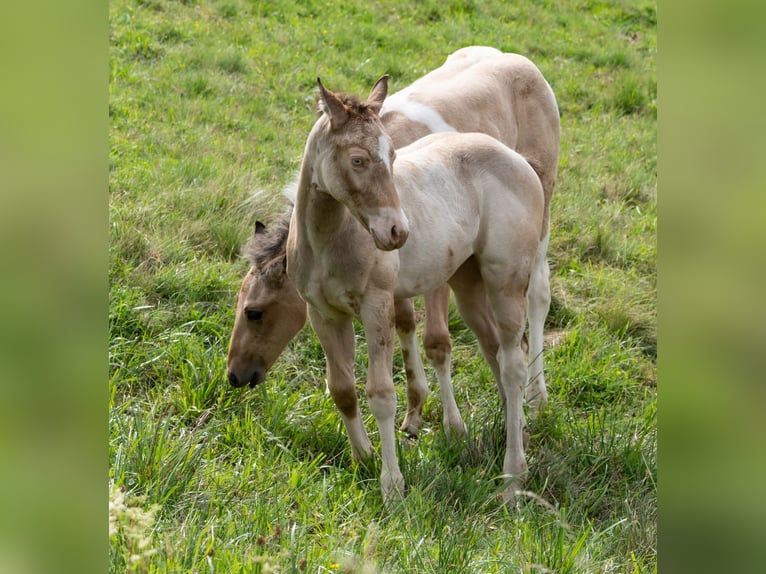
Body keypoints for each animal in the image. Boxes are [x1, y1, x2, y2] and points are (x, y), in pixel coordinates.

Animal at [227, 46, 560, 438]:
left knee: (538, 294)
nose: (235, 374)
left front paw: (452, 424)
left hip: (540, 215)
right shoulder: (398, 279)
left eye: (255, 312)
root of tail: (518, 60)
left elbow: (436, 342)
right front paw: (414, 412)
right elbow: (404, 326)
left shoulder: (435, 270)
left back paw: (536, 396)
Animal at [284, 77, 543, 502]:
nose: (397, 232)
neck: (329, 242)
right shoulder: (323, 313)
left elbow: (381, 394)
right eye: (358, 160)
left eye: (392, 156)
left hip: (506, 281)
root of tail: (517, 160)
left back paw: (513, 476)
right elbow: (342, 389)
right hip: (468, 286)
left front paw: (392, 485)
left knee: (513, 365)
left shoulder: (377, 306)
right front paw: (363, 457)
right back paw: (515, 427)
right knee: (494, 351)